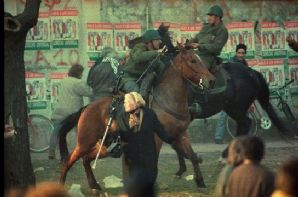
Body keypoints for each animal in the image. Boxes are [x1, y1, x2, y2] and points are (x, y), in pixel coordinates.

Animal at [58, 43, 214, 191]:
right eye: (193, 60)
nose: (211, 81)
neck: (166, 100)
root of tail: (86, 109)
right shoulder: (156, 138)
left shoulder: (181, 134)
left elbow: (192, 156)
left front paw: (200, 182)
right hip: (85, 142)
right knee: (69, 160)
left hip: (104, 143)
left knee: (86, 159)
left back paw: (94, 186)